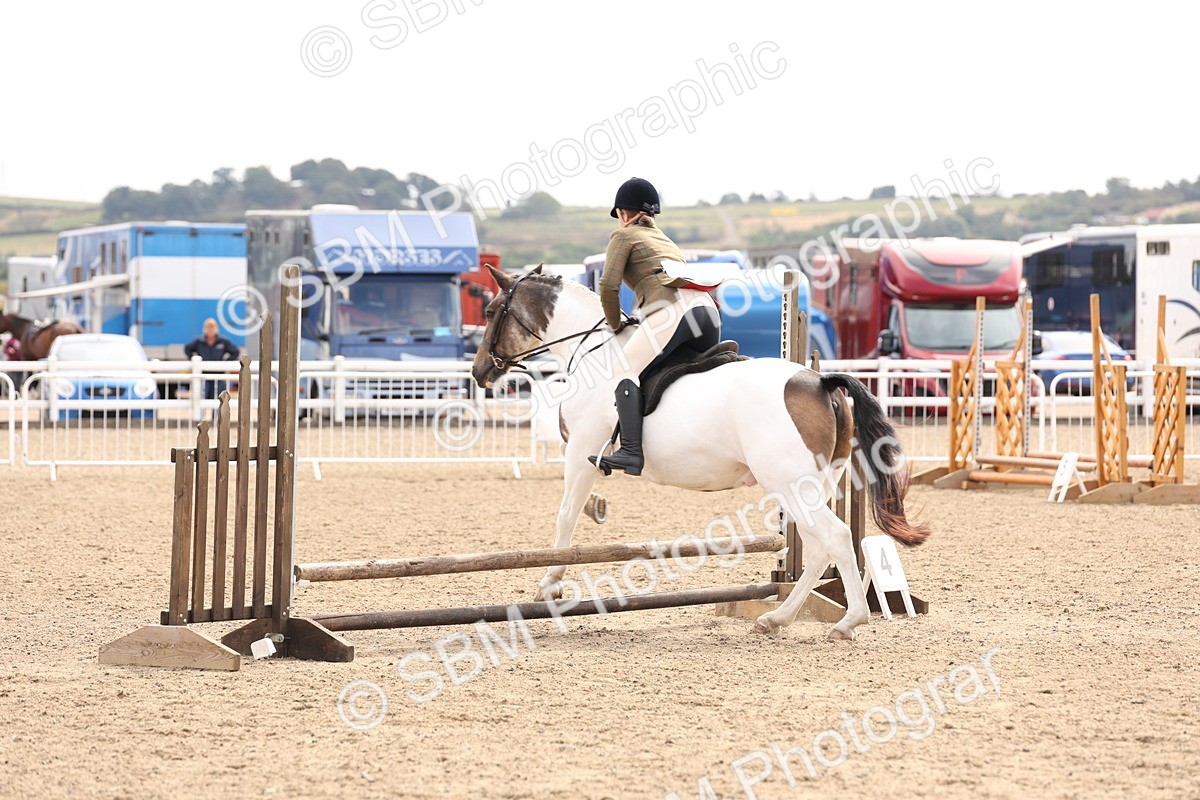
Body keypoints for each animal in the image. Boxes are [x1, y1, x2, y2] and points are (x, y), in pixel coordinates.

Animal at [470, 265, 930, 641]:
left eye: (491, 311)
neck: (590, 354)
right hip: (812, 483)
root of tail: (819, 380)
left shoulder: (582, 451)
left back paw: (849, 621)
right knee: (819, 548)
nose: (479, 372)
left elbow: (565, 517)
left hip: (790, 483)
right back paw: (777, 618)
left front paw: (549, 585)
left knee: (833, 538)